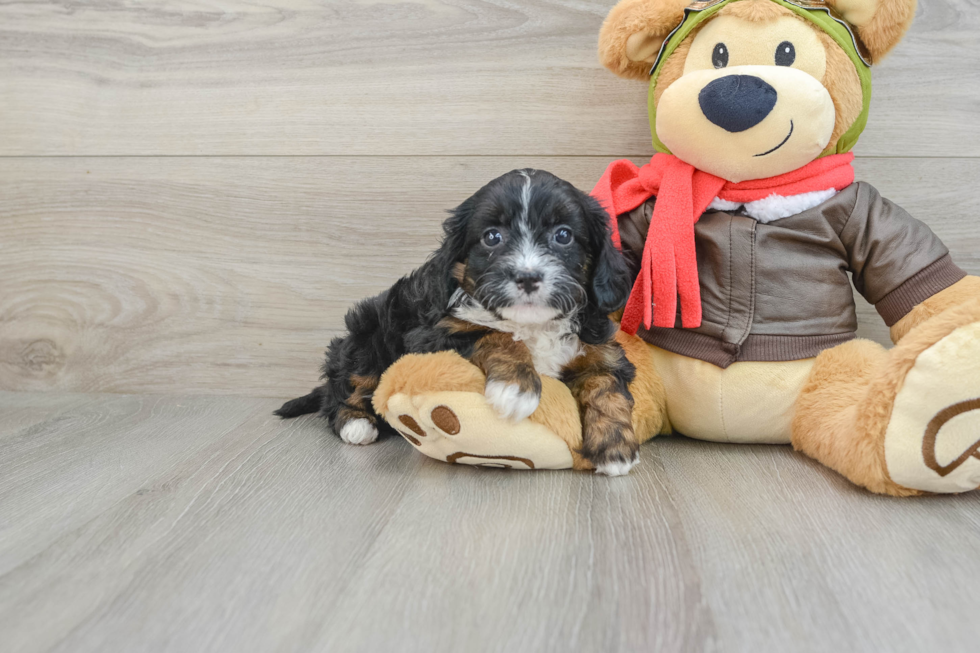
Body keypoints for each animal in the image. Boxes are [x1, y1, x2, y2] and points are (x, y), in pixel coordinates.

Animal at [278, 168, 644, 474]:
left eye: (564, 235)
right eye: (492, 237)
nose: (527, 277)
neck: (531, 325)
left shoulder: (601, 350)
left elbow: (606, 385)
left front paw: (615, 447)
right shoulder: (432, 335)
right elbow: (493, 334)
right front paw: (516, 387)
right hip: (365, 337)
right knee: (341, 389)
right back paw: (356, 423)